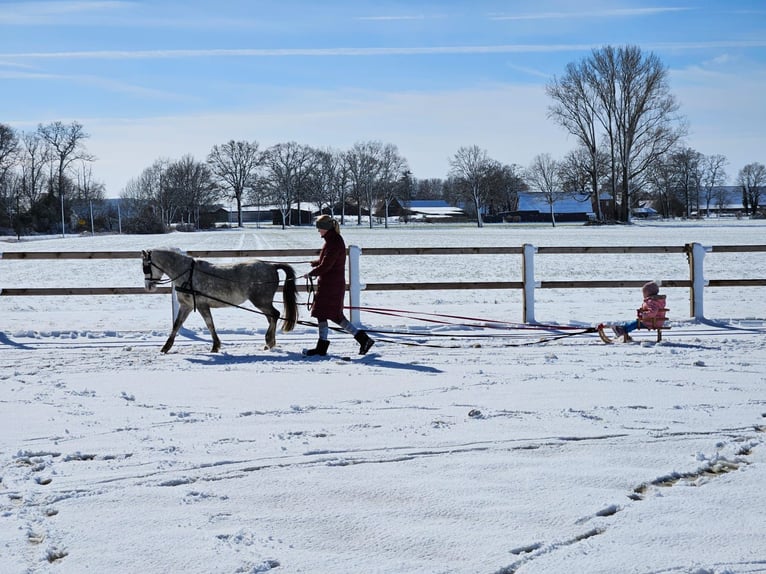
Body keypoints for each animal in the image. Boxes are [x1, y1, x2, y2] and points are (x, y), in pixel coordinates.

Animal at [142, 249, 298, 354]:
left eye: (145, 267)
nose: (148, 287)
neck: (188, 274)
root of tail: (271, 266)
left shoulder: (202, 305)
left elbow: (210, 324)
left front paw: (215, 346)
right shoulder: (186, 306)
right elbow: (176, 324)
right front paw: (166, 347)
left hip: (261, 301)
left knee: (275, 315)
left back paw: (268, 341)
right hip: (263, 303)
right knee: (271, 318)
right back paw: (270, 343)